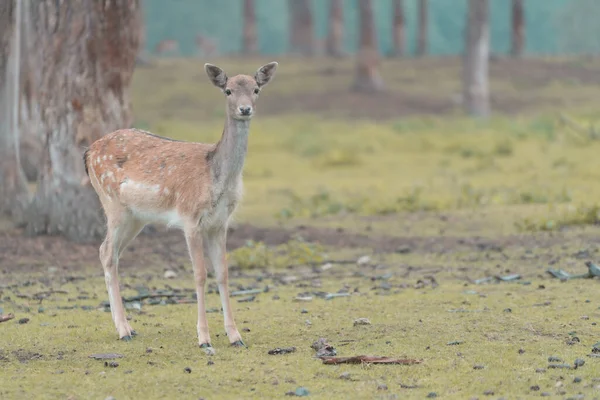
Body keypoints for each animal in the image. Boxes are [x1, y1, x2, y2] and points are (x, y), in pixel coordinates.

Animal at [84, 61, 278, 354]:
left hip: (135, 217)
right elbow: (200, 274)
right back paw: (123, 331)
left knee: (109, 252)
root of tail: (87, 152)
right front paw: (204, 338)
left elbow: (223, 273)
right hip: (112, 204)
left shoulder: (220, 223)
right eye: (228, 91)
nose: (245, 109)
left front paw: (236, 336)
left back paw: (128, 328)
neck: (217, 177)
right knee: (106, 251)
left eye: (256, 89)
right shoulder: (190, 218)